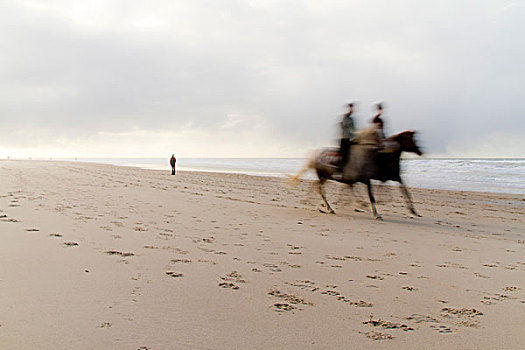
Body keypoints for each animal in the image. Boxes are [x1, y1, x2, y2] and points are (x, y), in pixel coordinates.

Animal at [290, 129, 422, 219]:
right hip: (323, 175)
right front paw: (376, 214)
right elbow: (371, 195)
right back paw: (330, 208)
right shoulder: (368, 178)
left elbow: (404, 190)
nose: (420, 151)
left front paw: (413, 210)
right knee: (320, 189)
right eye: (410, 139)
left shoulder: (390, 177)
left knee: (318, 186)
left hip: (325, 176)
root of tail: (315, 155)